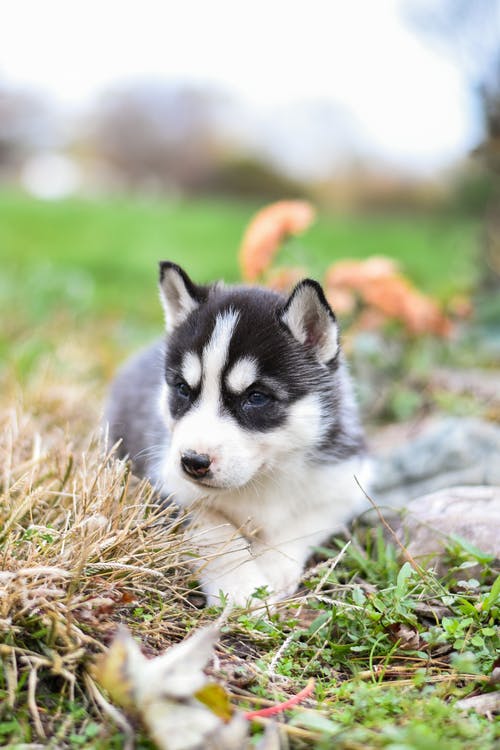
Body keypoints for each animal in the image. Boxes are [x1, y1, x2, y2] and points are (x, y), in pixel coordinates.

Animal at [105, 262, 372, 608]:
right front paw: (244, 590)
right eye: (182, 389)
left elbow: (300, 524)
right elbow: (215, 534)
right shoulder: (168, 486)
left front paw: (272, 569)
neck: (262, 479)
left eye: (256, 397)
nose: (193, 461)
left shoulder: (347, 482)